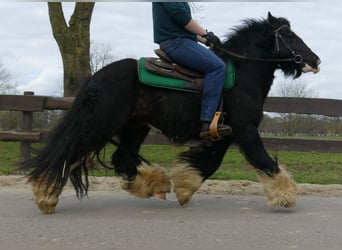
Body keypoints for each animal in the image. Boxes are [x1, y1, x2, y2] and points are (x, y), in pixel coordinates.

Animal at [22, 12, 320, 214]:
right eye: (289, 36)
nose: (314, 60)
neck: (242, 73)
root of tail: (96, 77)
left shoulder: (222, 134)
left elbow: (209, 163)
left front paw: (185, 186)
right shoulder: (245, 129)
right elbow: (263, 160)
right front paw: (285, 195)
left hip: (135, 126)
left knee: (122, 158)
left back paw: (156, 183)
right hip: (101, 124)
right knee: (67, 151)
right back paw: (45, 194)